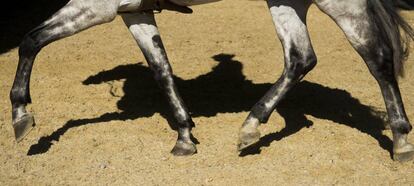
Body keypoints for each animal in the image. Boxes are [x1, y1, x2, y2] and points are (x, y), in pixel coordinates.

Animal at [8, 0, 414, 161]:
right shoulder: (134, 11)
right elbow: (162, 70)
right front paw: (185, 136)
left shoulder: (96, 6)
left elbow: (31, 40)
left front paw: (21, 115)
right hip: (288, 2)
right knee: (301, 58)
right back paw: (251, 127)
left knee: (376, 58)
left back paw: (401, 141)